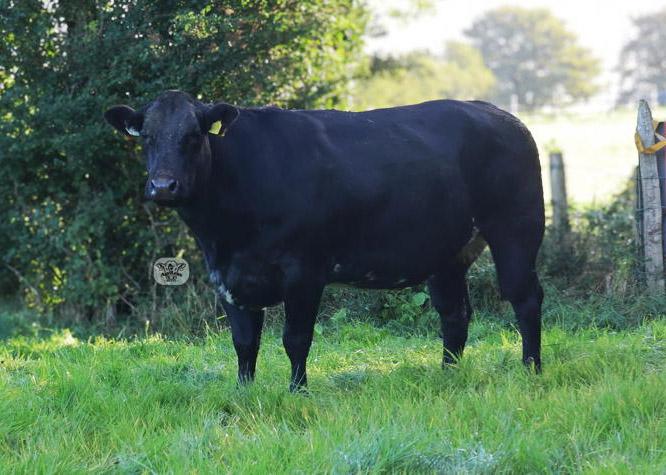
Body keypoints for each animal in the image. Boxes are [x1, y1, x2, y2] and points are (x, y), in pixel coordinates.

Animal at [104, 90, 544, 391]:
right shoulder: (227, 278)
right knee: (454, 314)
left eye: (194, 135)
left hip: (516, 229)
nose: (163, 186)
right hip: (447, 252)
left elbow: (295, 339)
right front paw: (243, 393)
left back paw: (532, 370)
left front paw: (297, 391)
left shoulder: (304, 270)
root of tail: (498, 113)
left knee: (525, 298)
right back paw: (447, 375)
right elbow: (244, 343)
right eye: (146, 137)